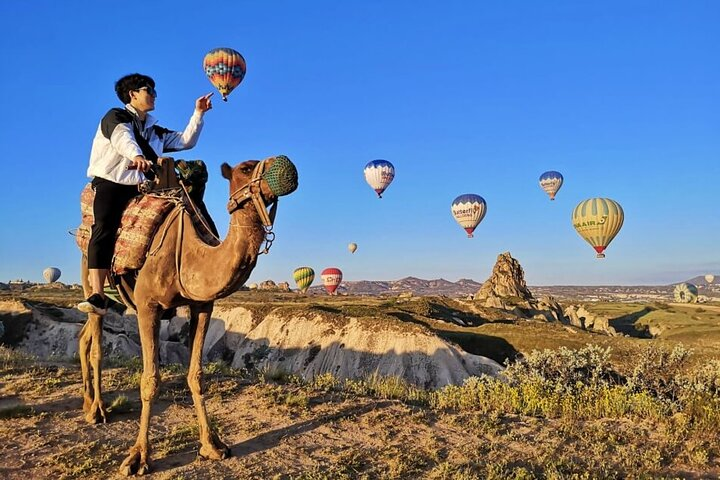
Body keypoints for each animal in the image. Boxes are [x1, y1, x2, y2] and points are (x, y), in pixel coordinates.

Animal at [76, 156, 296, 474]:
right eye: (245, 168)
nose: (287, 164)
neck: (192, 254)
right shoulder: (147, 305)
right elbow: (150, 380)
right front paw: (138, 457)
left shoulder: (202, 305)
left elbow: (196, 375)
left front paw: (212, 445)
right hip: (89, 268)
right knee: (96, 340)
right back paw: (98, 409)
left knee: (84, 337)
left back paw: (86, 402)